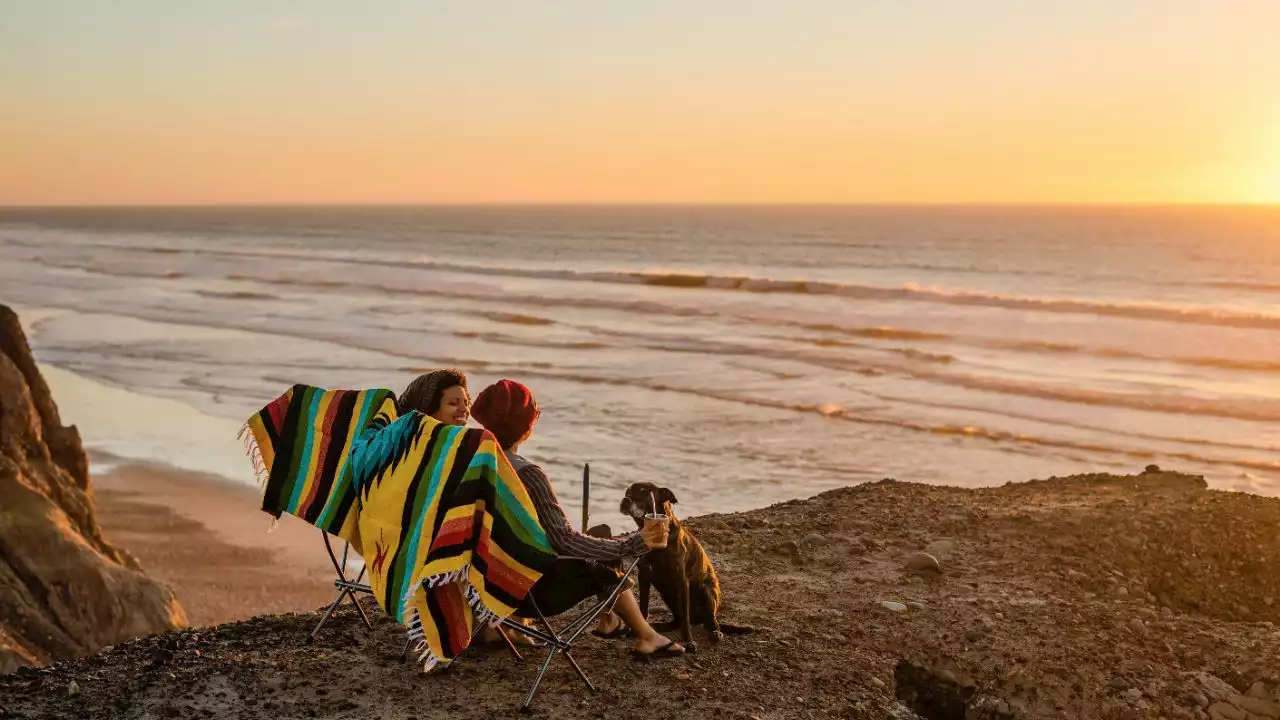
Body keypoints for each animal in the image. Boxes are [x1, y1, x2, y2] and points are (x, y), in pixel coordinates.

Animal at [616, 479, 747, 648]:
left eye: (644, 491)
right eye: (627, 492)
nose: (625, 500)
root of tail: (699, 619)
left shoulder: (681, 579)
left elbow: (685, 617)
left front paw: (688, 641)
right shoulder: (644, 575)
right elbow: (643, 607)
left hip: (707, 590)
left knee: (709, 620)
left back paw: (715, 632)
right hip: (667, 596)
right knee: (677, 620)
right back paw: (660, 626)